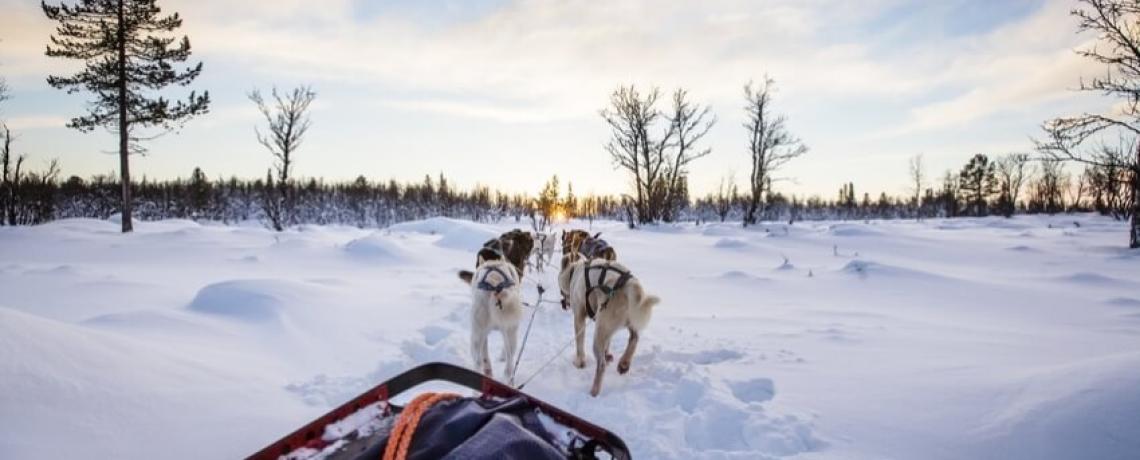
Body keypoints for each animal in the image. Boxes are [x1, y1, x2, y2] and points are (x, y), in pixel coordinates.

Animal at [558, 258, 661, 396]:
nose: (563, 303)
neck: (575, 272)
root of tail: (629, 284)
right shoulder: (607, 329)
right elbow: (608, 343)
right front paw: (608, 354)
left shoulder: (579, 317)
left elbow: (580, 344)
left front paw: (579, 362)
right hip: (624, 323)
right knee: (634, 338)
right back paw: (624, 363)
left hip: (599, 334)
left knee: (601, 365)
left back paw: (594, 390)